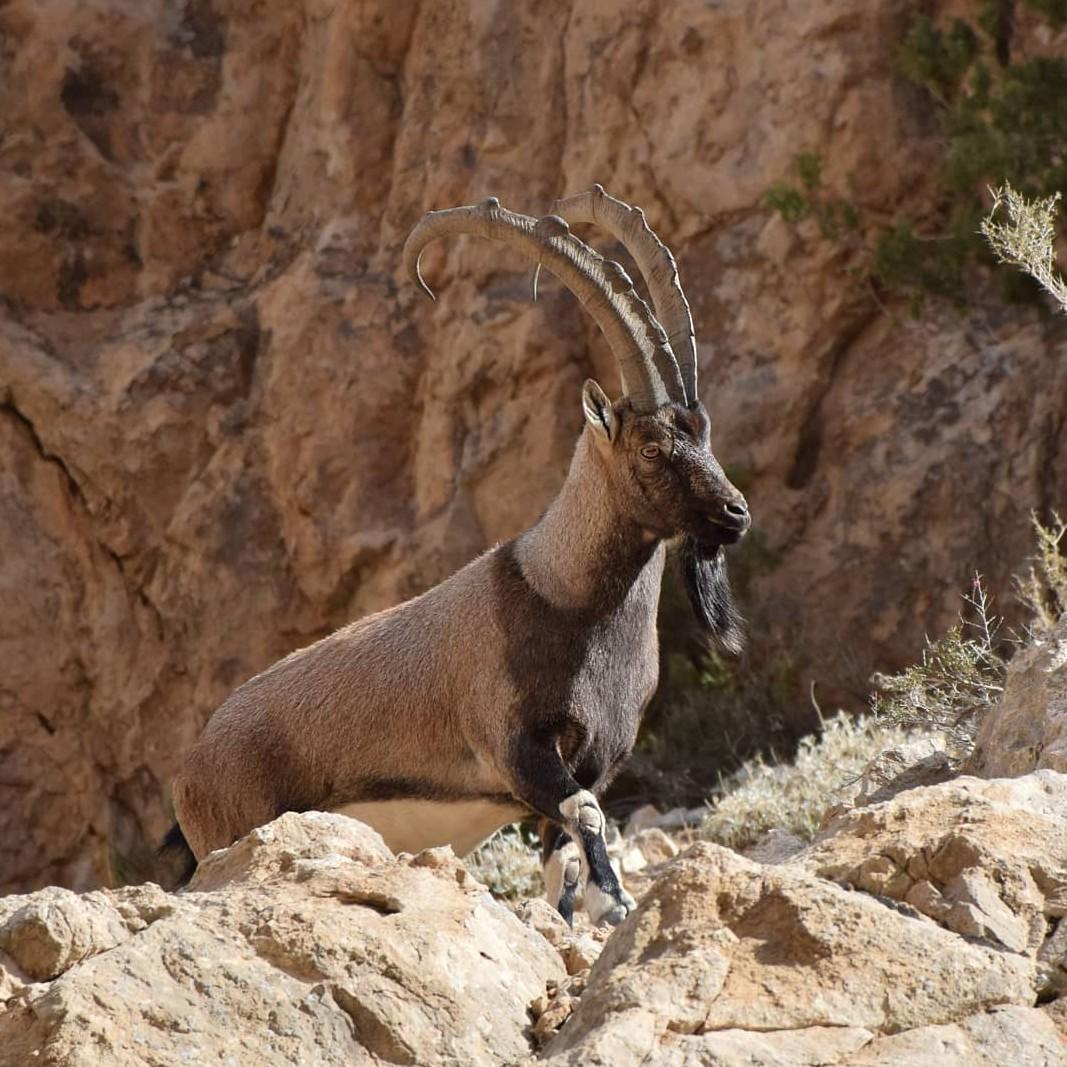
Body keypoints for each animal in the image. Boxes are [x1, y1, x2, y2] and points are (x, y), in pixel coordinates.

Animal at [163, 187, 750, 925]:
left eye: (702, 432)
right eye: (650, 447)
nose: (735, 513)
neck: (561, 594)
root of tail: (189, 771)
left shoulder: (593, 760)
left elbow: (561, 858)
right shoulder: (517, 750)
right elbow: (586, 816)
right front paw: (616, 904)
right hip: (233, 832)